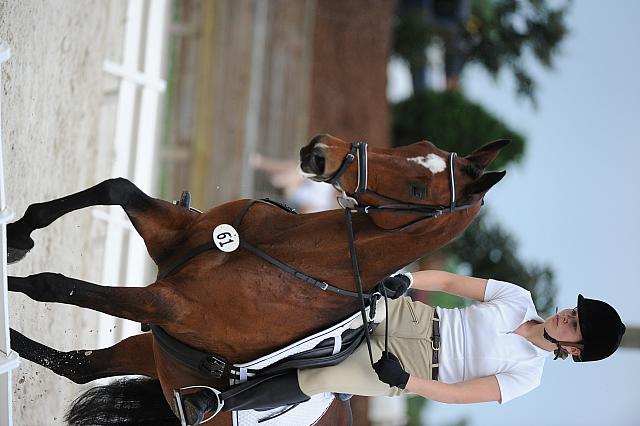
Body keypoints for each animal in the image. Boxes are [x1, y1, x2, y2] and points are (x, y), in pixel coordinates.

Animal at [7, 132, 508, 422]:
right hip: (159, 357)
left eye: (419, 189)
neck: (284, 251)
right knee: (81, 367)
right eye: (412, 149)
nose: (320, 151)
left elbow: (52, 285)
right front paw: (16, 238)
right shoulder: (172, 237)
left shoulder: (168, 304)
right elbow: (116, 188)